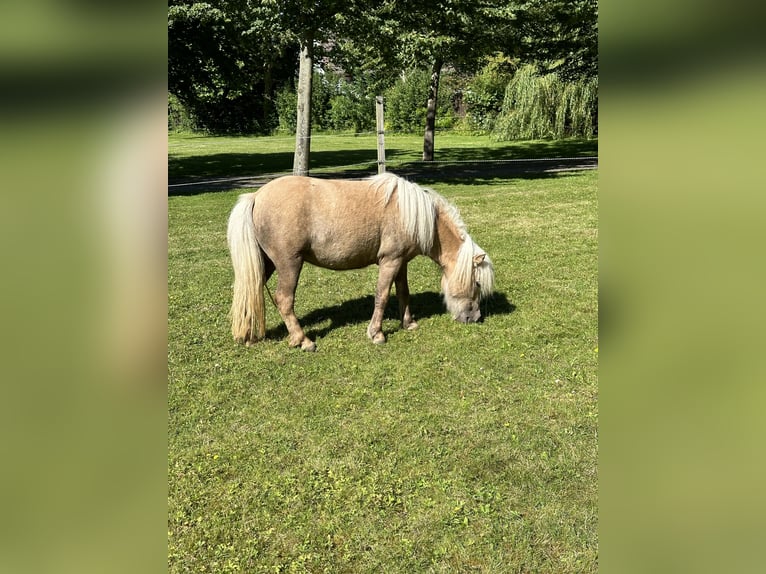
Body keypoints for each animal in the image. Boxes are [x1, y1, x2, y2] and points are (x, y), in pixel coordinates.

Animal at [226, 171, 498, 352]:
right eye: (477, 283)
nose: (475, 318)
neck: (412, 215)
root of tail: (256, 196)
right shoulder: (389, 262)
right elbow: (382, 296)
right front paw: (376, 334)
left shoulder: (401, 262)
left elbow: (403, 293)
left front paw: (408, 323)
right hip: (289, 264)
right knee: (284, 299)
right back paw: (303, 340)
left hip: (267, 263)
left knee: (252, 290)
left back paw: (250, 334)